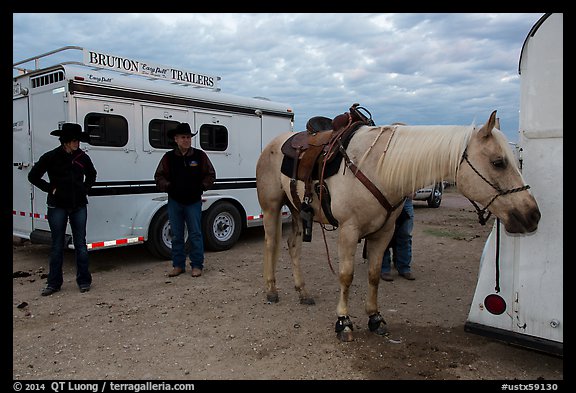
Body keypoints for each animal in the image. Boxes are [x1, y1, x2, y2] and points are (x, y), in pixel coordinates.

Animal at [255, 110, 540, 340]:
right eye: (498, 162)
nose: (532, 215)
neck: (378, 166)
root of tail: (275, 143)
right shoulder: (349, 231)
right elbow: (346, 276)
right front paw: (343, 322)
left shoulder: (384, 232)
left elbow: (373, 275)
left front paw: (375, 318)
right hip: (272, 208)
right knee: (271, 244)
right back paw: (271, 290)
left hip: (296, 210)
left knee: (293, 246)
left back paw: (303, 292)